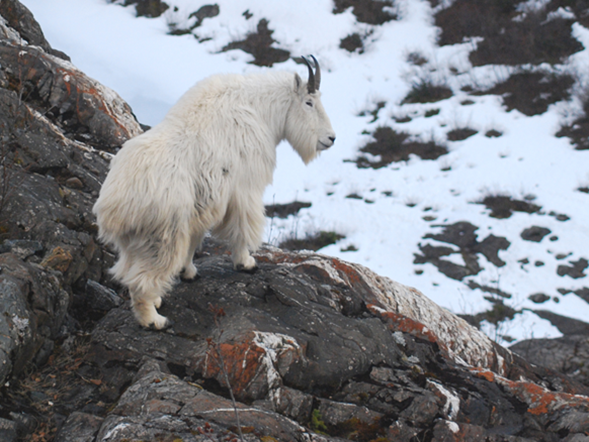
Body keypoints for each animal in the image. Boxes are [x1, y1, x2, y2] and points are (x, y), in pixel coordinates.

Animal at [94, 56, 338, 328]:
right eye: (309, 102)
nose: (331, 138)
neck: (261, 110)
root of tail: (114, 205)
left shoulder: (206, 202)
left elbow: (196, 238)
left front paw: (188, 272)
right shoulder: (244, 189)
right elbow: (242, 227)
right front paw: (246, 263)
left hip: (133, 243)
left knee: (128, 272)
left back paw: (156, 301)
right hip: (163, 235)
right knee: (141, 281)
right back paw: (155, 320)